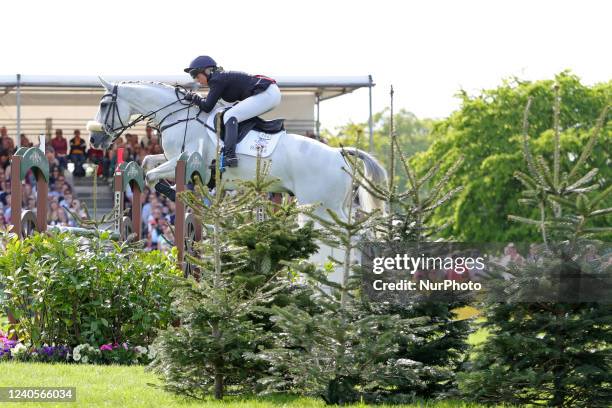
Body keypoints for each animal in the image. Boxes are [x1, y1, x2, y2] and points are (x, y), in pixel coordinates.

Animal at [86, 78, 384, 222]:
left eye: (103, 105)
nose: (94, 140)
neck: (178, 116)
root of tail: (338, 153)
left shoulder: (184, 159)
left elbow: (150, 176)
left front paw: (178, 194)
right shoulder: (171, 158)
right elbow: (147, 162)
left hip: (321, 204)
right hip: (335, 204)